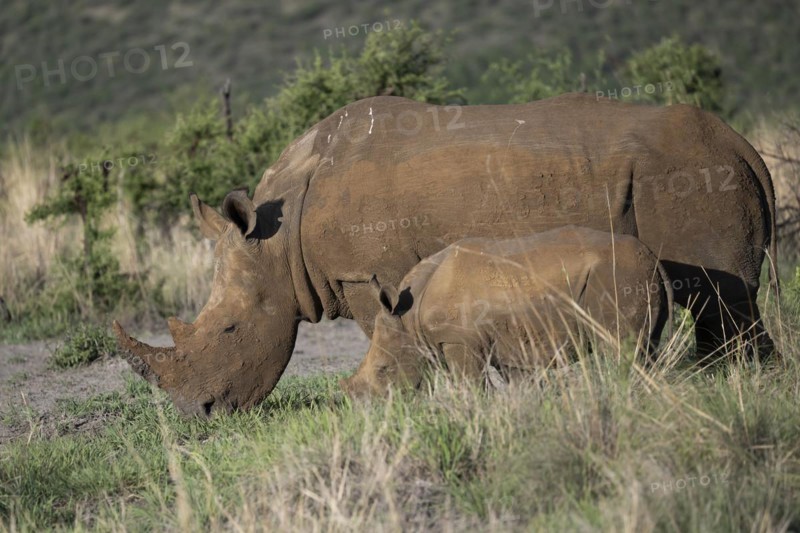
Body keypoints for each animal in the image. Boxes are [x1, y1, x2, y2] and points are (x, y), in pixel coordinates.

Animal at [339, 227, 673, 398]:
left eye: (383, 370)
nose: (364, 409)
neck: (408, 319)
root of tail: (654, 260)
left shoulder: (458, 340)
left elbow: (472, 388)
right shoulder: (511, 345)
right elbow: (521, 386)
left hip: (618, 276)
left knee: (621, 350)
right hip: (635, 275)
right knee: (647, 351)